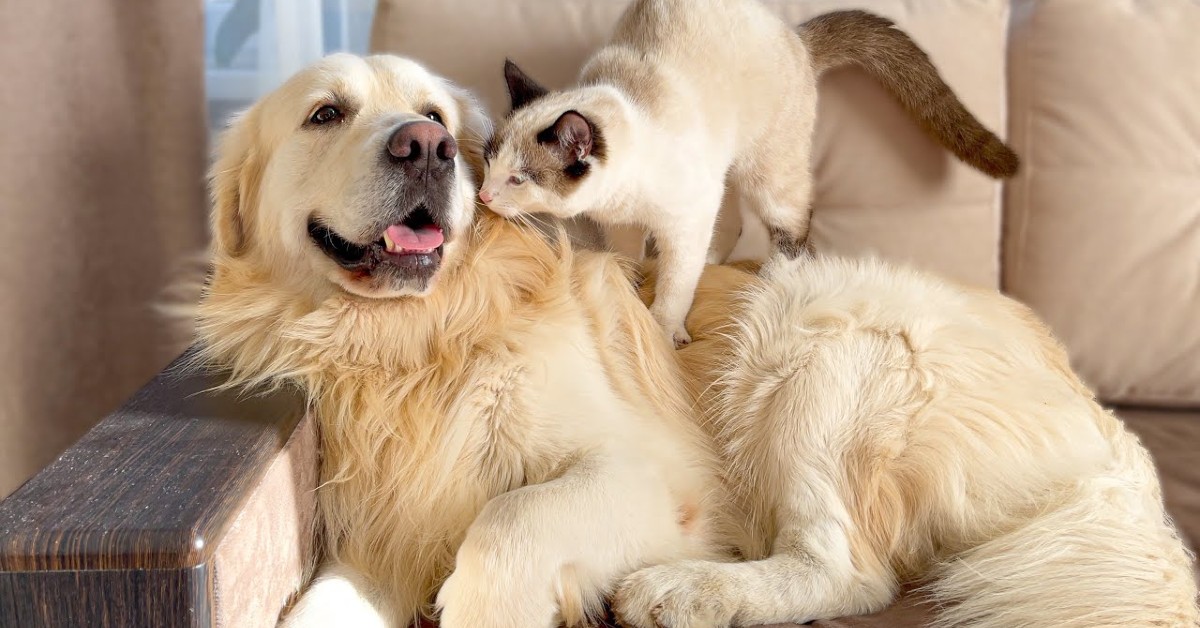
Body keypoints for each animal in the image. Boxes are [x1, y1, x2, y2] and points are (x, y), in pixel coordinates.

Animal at [196, 54, 1200, 628]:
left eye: (436, 118)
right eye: (325, 114)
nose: (426, 149)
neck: (416, 342)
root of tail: (1107, 427)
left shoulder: (656, 476)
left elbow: (513, 517)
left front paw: (490, 600)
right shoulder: (385, 534)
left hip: (819, 349)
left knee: (850, 574)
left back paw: (684, 593)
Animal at [475, 4, 1012, 345]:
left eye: (519, 179)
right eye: (490, 159)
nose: (483, 196)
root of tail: (795, 36)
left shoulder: (686, 217)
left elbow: (676, 286)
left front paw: (665, 328)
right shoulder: (625, 223)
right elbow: (626, 257)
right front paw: (627, 282)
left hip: (765, 174)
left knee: (792, 226)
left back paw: (773, 277)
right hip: (726, 169)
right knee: (731, 222)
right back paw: (716, 261)